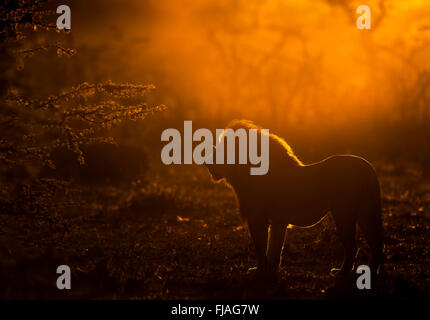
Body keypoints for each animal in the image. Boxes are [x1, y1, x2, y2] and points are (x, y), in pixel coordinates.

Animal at [205, 119, 382, 282]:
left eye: (224, 150)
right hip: (365, 213)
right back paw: (371, 273)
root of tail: (367, 167)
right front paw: (270, 271)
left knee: (353, 246)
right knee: (375, 243)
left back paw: (341, 273)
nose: (208, 163)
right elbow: (272, 248)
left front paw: (262, 273)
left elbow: (265, 248)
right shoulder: (275, 221)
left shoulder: (260, 219)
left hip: (344, 214)